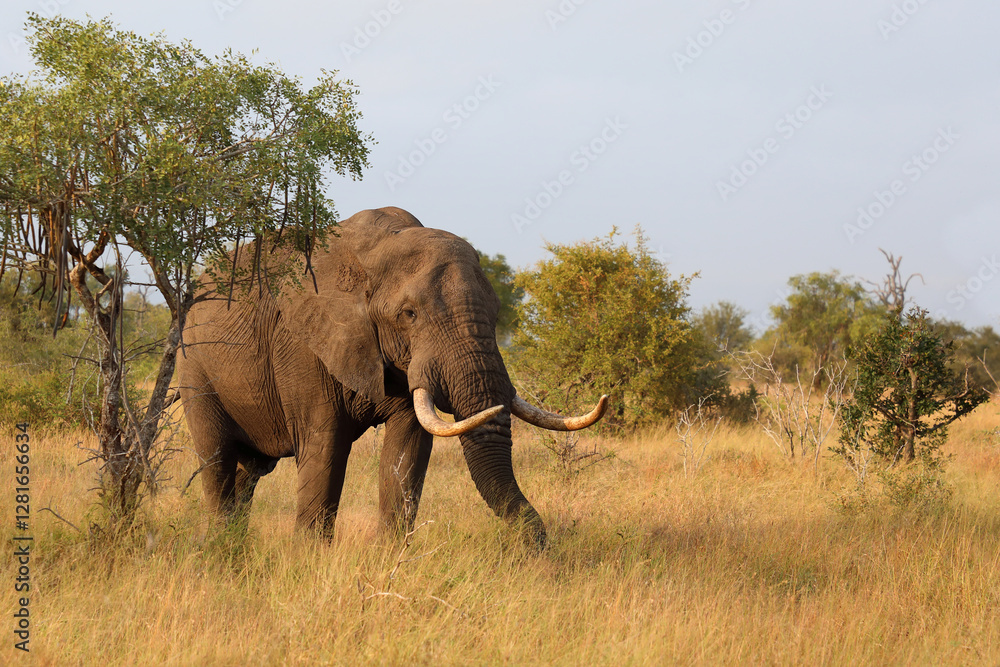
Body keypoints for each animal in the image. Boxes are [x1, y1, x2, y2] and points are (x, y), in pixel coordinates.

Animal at [177, 206, 607, 546]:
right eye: (409, 314)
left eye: (497, 311)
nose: (538, 549)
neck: (379, 249)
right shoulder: (301, 346)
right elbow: (324, 447)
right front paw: (308, 562)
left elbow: (407, 449)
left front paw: (390, 559)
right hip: (193, 365)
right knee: (217, 460)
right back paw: (218, 551)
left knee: (249, 472)